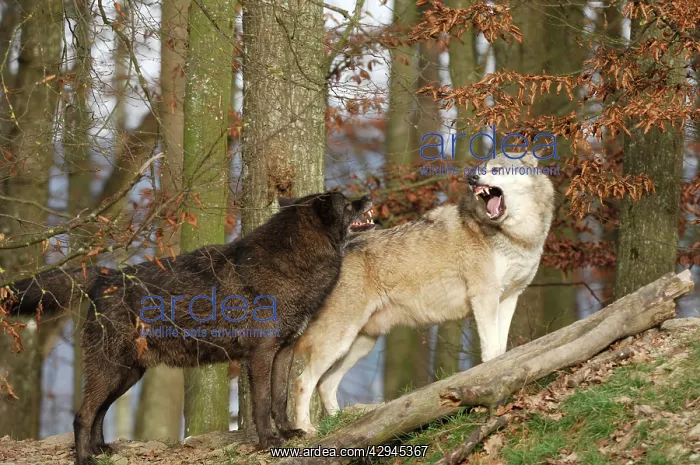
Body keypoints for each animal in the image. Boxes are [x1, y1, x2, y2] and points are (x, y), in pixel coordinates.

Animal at [4, 192, 374, 465]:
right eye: (347, 202)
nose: (368, 196)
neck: (290, 263)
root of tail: (104, 277)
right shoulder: (260, 356)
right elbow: (262, 402)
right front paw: (268, 441)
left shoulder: (282, 353)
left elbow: (280, 399)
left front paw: (287, 433)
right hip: (111, 370)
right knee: (82, 414)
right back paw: (85, 458)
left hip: (127, 374)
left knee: (98, 412)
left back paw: (100, 450)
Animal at [284, 153, 555, 433]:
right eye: (481, 169)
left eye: (497, 169)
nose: (472, 178)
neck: (516, 237)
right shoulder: (484, 297)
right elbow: (491, 350)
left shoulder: (510, 298)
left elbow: (502, 349)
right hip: (340, 340)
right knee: (304, 381)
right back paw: (307, 430)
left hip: (361, 343)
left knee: (325, 384)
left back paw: (343, 425)